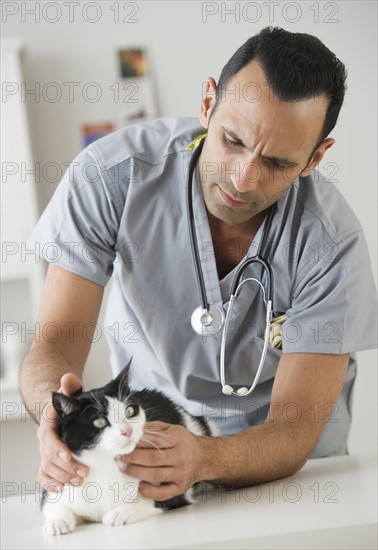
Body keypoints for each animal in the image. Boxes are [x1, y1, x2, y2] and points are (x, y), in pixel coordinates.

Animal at [41, 364, 216, 536]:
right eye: (99, 421)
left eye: (129, 411)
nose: (127, 431)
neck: (106, 464)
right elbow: (51, 503)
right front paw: (58, 521)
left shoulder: (174, 492)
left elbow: (155, 499)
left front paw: (119, 513)